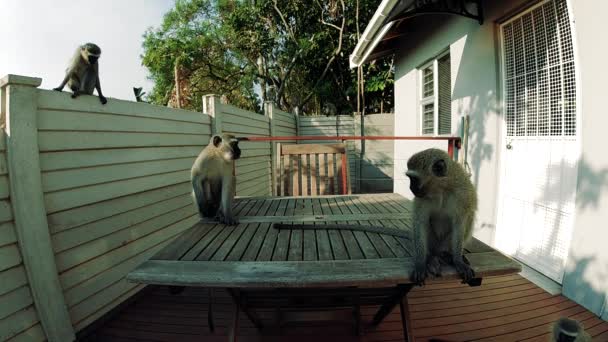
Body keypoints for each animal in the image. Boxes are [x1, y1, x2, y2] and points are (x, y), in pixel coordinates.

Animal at [406, 148, 478, 284]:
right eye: (410, 178)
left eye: (414, 179)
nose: (411, 188)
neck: (442, 189)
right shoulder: (422, 198)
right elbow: (420, 223)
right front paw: (420, 263)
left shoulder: (462, 195)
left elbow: (459, 223)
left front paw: (458, 261)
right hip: (434, 243)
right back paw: (430, 258)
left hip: (445, 243)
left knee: (469, 216)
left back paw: (448, 255)